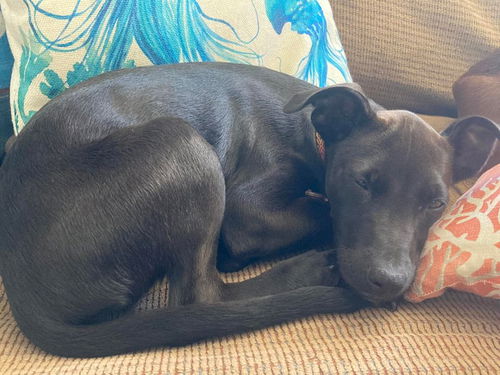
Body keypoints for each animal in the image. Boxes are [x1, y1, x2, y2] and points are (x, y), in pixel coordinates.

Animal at [0, 64, 498, 358]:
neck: (313, 130)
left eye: (436, 203)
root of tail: (23, 292)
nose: (388, 282)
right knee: (202, 295)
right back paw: (309, 270)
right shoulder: (247, 211)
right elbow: (322, 212)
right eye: (361, 183)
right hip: (179, 143)